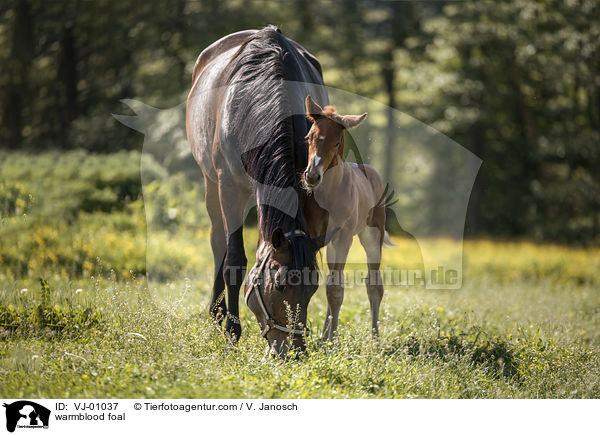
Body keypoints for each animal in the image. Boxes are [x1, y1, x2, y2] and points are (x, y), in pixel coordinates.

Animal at [186, 26, 328, 354]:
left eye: (313, 287)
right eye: (279, 284)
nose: (293, 350)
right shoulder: (229, 187)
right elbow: (234, 260)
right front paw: (232, 331)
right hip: (211, 184)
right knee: (218, 243)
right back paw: (216, 313)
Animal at [300, 94, 394, 340]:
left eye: (336, 142)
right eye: (309, 137)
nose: (311, 176)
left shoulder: (343, 236)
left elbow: (336, 290)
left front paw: (333, 342)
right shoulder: (310, 236)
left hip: (371, 234)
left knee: (374, 285)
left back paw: (375, 337)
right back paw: (324, 335)